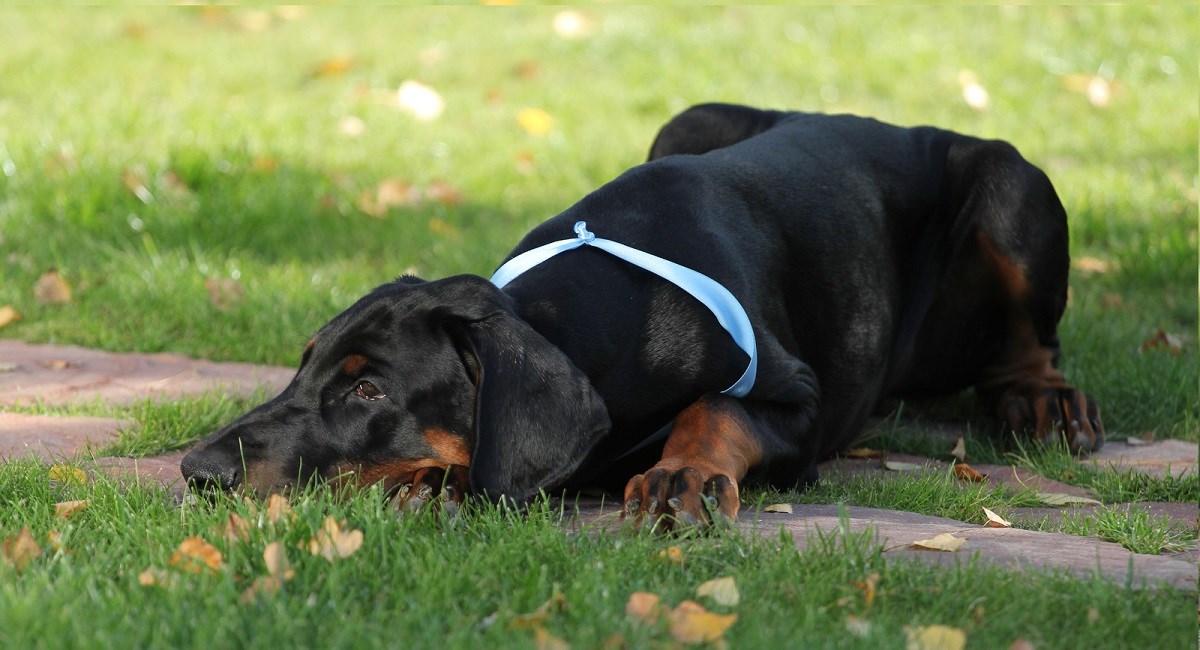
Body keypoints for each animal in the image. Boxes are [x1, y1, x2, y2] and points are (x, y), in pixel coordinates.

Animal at [180, 103, 1104, 530]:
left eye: (369, 392)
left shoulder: (804, 405)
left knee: (1032, 343)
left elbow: (720, 406)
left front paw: (681, 474)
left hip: (1012, 185)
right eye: (302, 365)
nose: (196, 471)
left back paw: (1045, 400)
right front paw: (424, 481)